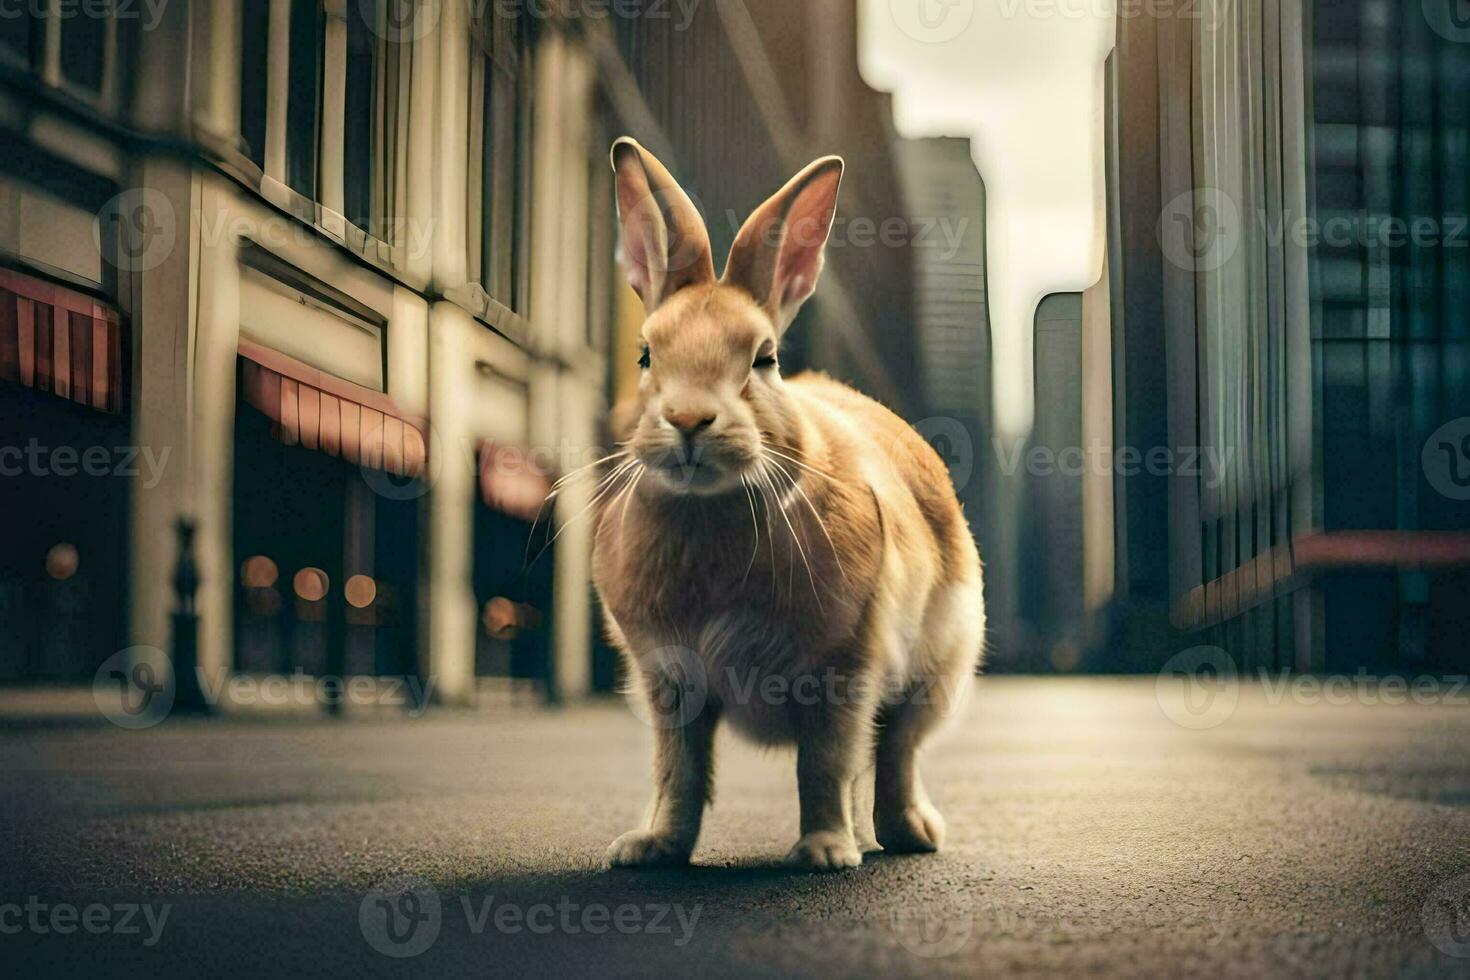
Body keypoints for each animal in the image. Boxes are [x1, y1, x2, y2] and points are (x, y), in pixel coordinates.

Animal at [588, 138, 987, 875]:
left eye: (764, 359)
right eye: (646, 354)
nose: (689, 419)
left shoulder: (840, 672)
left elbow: (823, 763)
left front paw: (823, 854)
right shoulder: (670, 680)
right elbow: (677, 772)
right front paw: (651, 848)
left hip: (936, 671)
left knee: (896, 753)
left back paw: (908, 834)